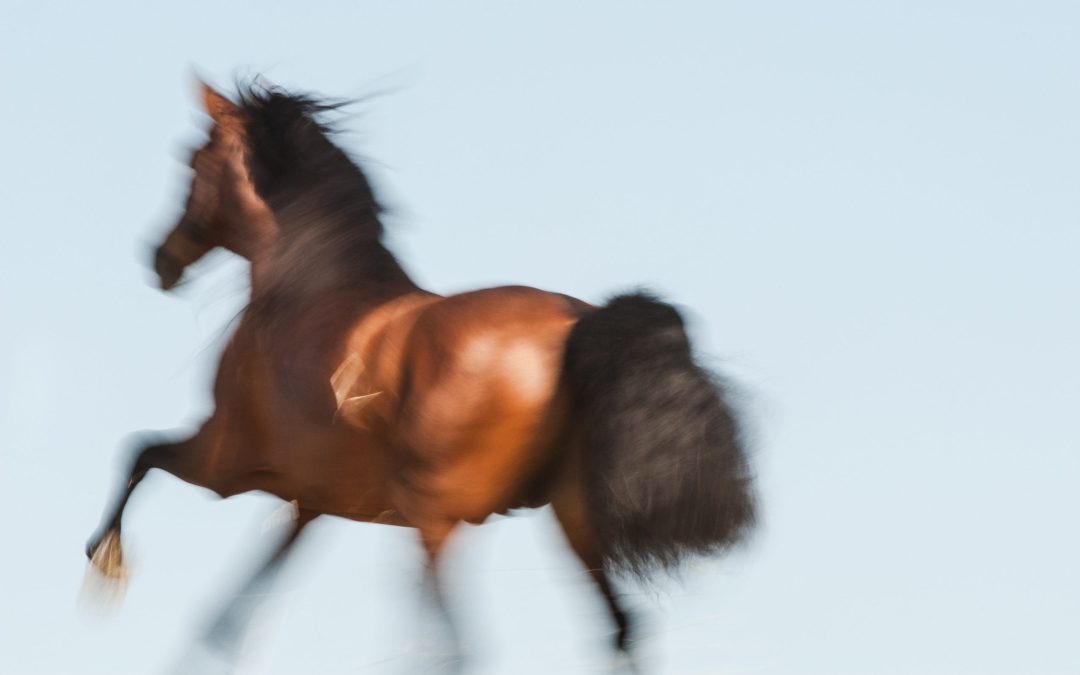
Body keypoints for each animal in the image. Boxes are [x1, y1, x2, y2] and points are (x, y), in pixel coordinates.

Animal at [86, 81, 756, 666]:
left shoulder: (225, 462)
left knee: (462, 650)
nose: (159, 261)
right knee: (620, 630)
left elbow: (139, 454)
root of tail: (576, 322)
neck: (306, 288)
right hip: (571, 515)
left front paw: (104, 563)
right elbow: (239, 600)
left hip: (437, 521)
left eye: (192, 159)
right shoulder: (310, 502)